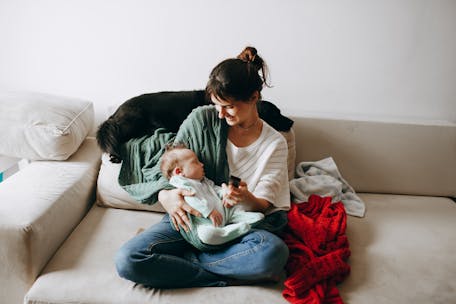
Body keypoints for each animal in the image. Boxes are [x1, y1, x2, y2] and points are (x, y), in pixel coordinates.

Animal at [97, 89, 294, 163]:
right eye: (276, 113)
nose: (292, 122)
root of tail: (116, 112)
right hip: (133, 120)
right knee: (115, 136)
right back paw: (115, 154)